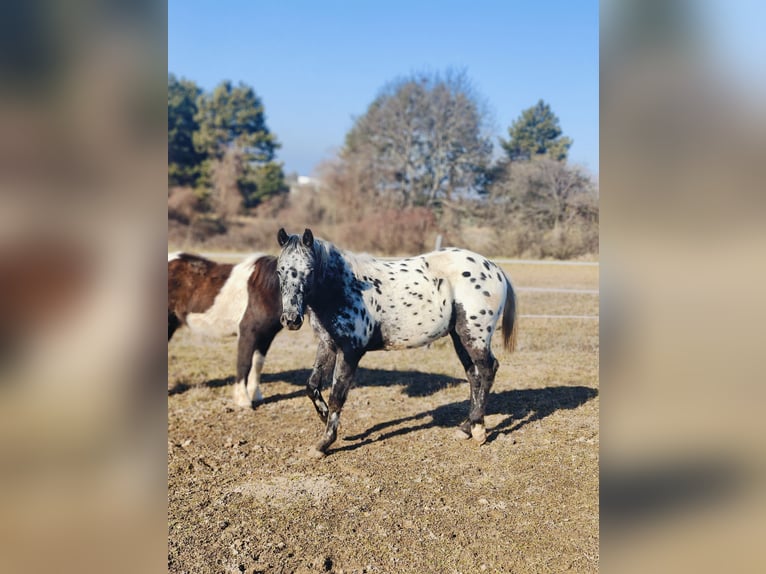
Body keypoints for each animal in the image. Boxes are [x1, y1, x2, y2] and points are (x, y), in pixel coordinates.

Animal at [168, 253, 282, 410]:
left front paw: (256, 396)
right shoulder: (248, 334)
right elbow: (244, 364)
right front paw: (243, 401)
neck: (266, 289)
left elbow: (257, 364)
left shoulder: (266, 336)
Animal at [278, 230, 520, 460]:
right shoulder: (327, 345)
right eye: (280, 271)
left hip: (474, 335)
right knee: (474, 376)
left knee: (487, 370)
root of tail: (495, 269)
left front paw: (324, 444)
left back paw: (478, 430)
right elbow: (311, 386)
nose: (291, 319)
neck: (343, 288)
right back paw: (466, 428)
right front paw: (323, 415)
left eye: (309, 270)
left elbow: (337, 397)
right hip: (459, 336)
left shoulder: (351, 352)